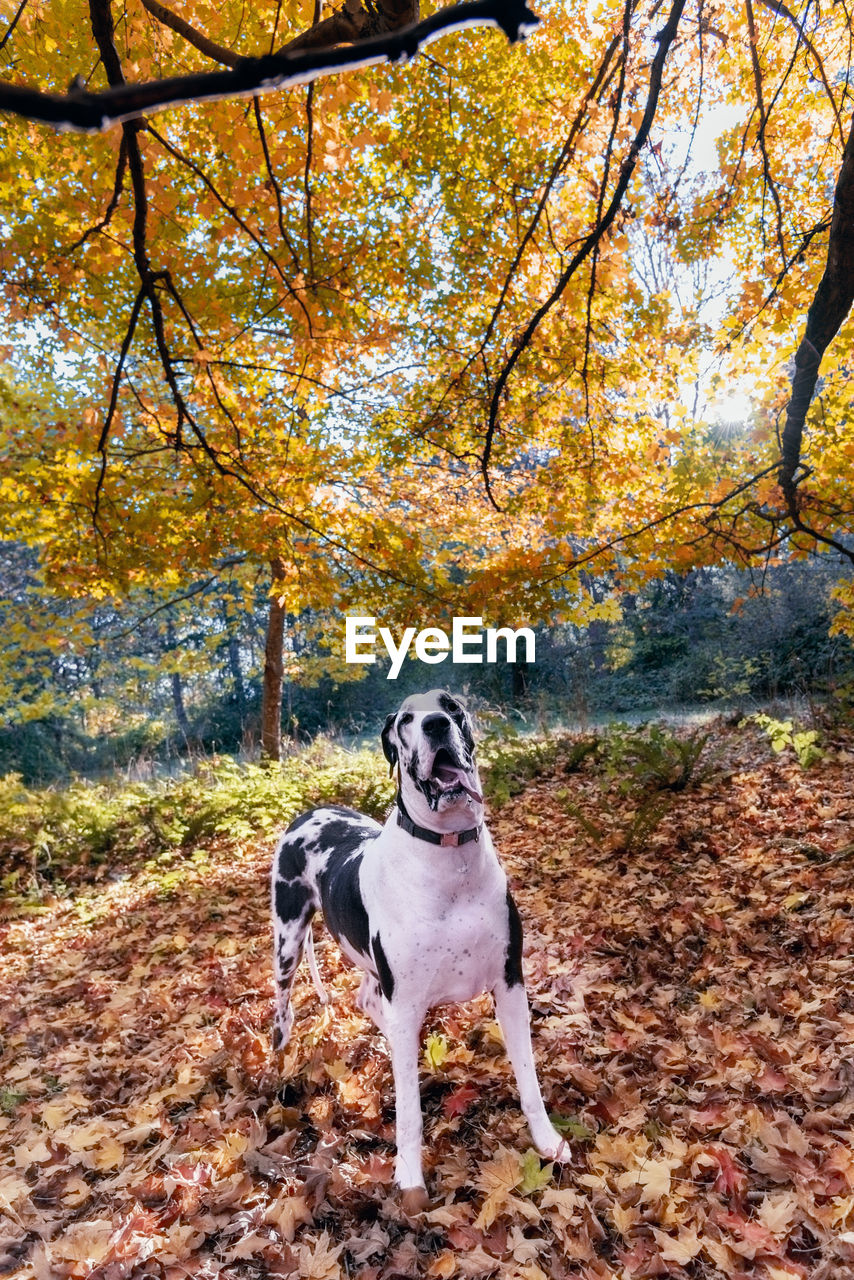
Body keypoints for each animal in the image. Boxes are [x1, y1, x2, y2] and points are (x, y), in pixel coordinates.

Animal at [270, 691, 571, 1208]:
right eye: (406, 720)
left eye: (453, 707)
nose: (435, 725)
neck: (451, 857)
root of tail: (309, 812)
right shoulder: (407, 1000)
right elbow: (409, 1111)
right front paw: (409, 1178)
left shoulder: (510, 984)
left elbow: (529, 1078)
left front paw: (546, 1140)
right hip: (288, 941)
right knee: (285, 1010)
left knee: (366, 1000)